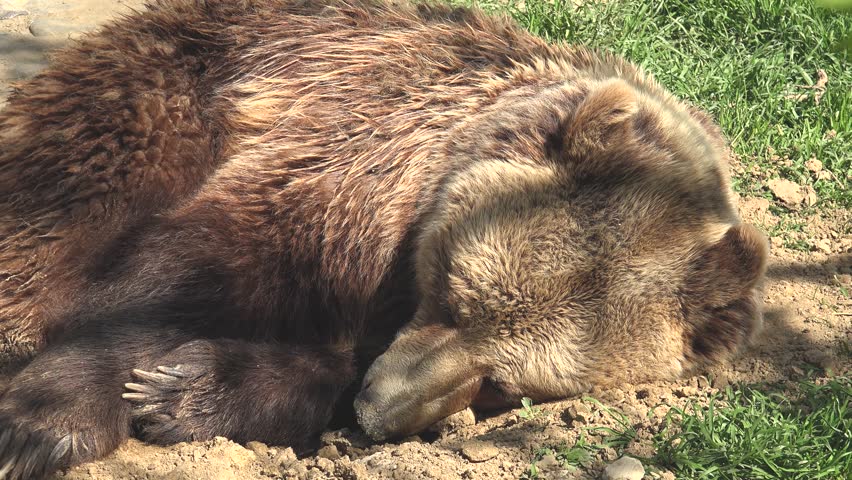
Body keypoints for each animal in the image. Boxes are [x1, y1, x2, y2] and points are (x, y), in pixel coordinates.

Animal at [0, 0, 768, 478]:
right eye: (455, 295)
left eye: (505, 386)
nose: (377, 411)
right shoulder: (349, 161)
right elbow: (190, 268)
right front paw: (43, 419)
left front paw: (188, 388)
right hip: (163, 89)